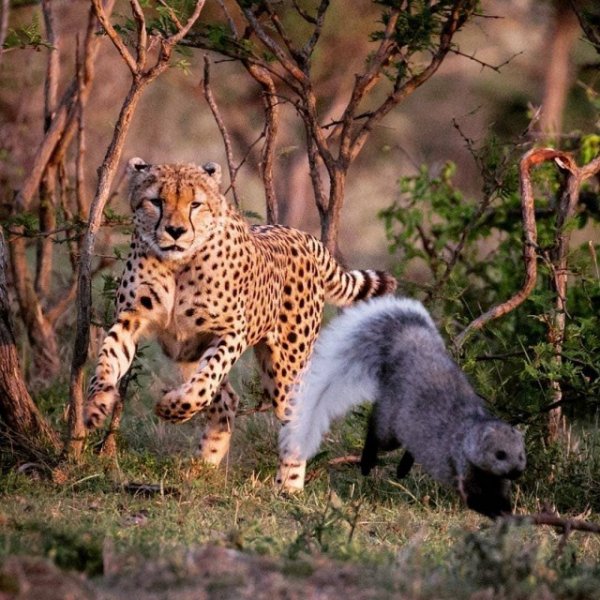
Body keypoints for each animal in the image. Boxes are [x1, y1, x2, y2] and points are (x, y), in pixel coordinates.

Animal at [82, 157, 396, 490]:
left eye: (195, 204)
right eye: (156, 201)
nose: (175, 231)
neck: (179, 264)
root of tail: (303, 235)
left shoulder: (232, 332)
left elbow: (202, 387)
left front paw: (170, 408)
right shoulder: (130, 319)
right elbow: (107, 360)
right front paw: (96, 404)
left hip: (285, 368)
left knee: (292, 413)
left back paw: (289, 485)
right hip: (190, 354)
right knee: (227, 400)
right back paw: (204, 465)